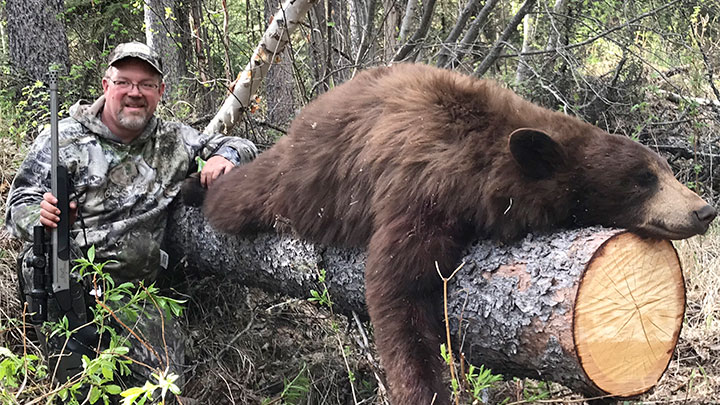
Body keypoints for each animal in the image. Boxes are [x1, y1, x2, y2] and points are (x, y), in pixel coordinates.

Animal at [195, 64, 716, 404]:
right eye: (643, 179)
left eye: (666, 169)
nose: (704, 210)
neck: (482, 163)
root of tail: (313, 109)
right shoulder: (422, 187)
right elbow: (397, 289)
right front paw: (424, 389)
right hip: (299, 179)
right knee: (241, 197)